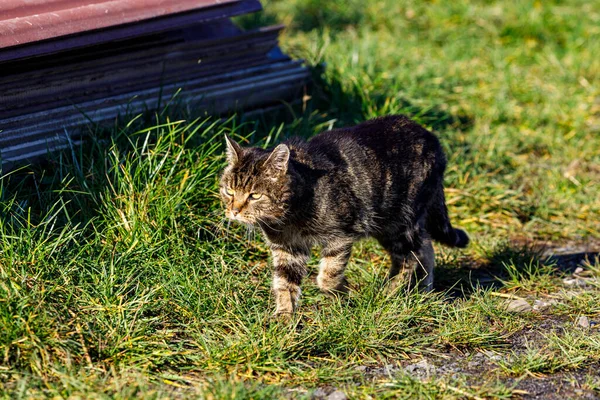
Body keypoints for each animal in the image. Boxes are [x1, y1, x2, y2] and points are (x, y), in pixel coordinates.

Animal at [220, 114, 468, 318]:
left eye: (255, 195)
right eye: (229, 191)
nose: (234, 210)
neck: (288, 219)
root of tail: (431, 137)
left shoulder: (340, 236)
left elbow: (327, 276)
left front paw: (342, 292)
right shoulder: (287, 249)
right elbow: (284, 283)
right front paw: (284, 317)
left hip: (401, 222)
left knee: (412, 256)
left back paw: (390, 292)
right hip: (390, 226)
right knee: (426, 247)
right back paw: (422, 290)